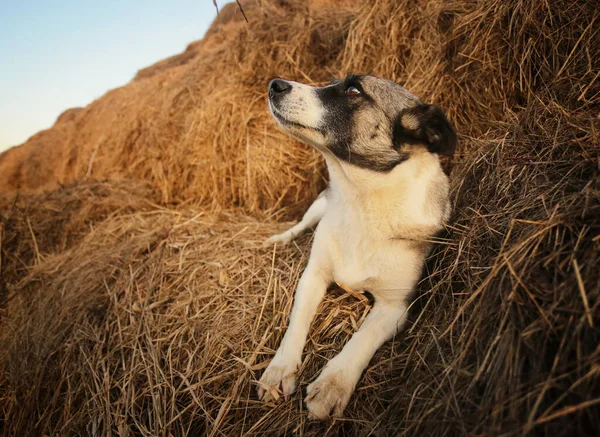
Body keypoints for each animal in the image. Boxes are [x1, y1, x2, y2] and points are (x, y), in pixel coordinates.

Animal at [255, 75, 458, 418]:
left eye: (353, 90)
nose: (275, 84)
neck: (361, 201)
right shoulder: (313, 276)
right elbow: (296, 323)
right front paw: (280, 369)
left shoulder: (395, 307)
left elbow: (362, 339)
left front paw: (333, 383)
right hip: (319, 205)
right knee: (302, 225)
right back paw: (280, 239)